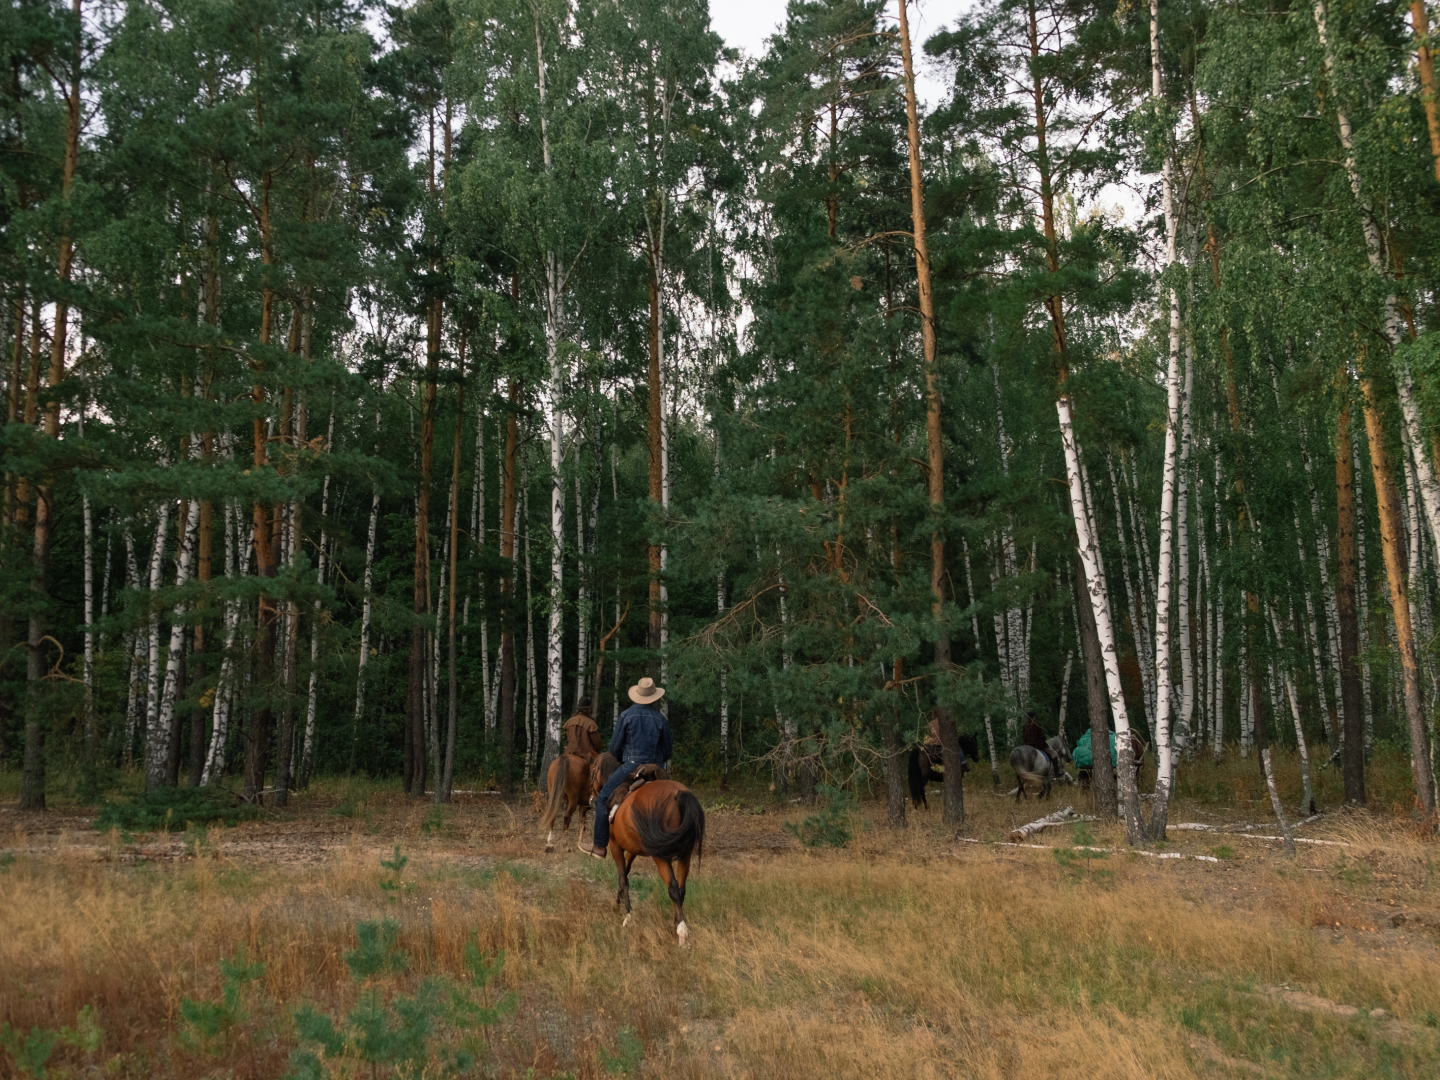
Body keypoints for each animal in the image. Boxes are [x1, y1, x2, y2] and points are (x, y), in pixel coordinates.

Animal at [604, 777, 705, 944]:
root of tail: (679, 794)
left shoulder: (615, 845)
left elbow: (623, 878)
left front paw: (627, 915)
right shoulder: (632, 849)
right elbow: (626, 871)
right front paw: (618, 904)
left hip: (660, 856)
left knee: (673, 887)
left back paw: (682, 934)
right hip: (685, 854)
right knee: (681, 889)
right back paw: (675, 925)